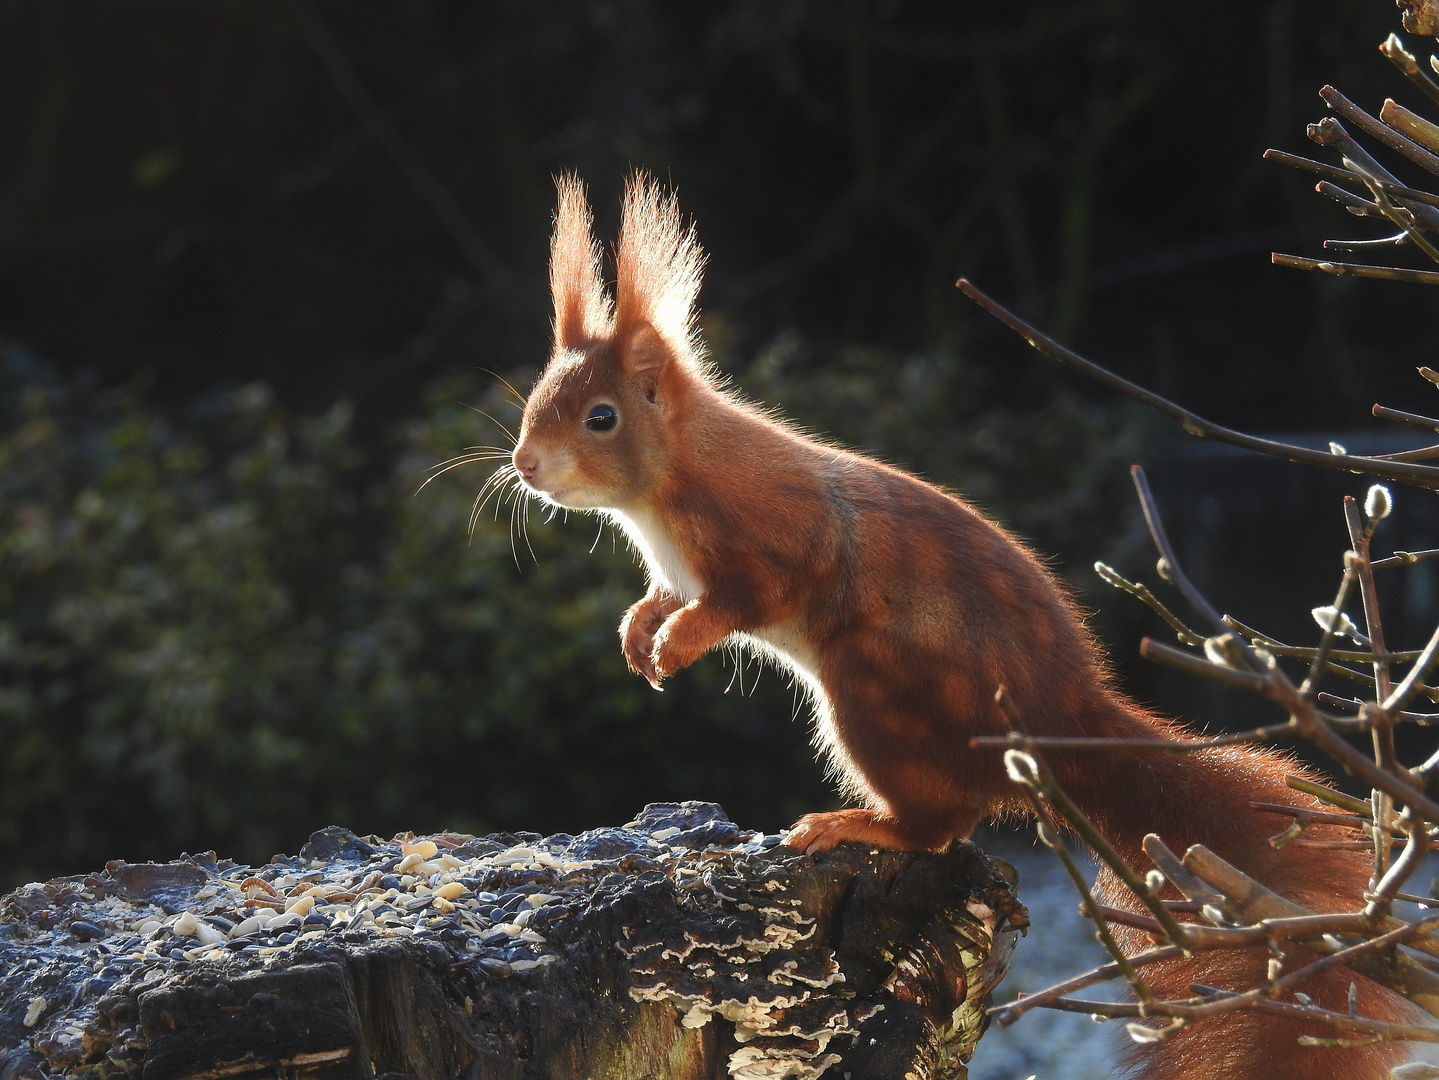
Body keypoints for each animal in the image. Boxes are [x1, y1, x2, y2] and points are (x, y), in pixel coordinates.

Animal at [512, 177, 1410, 1080]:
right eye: (536, 401)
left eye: (599, 418)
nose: (523, 465)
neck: (668, 482)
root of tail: (1055, 726)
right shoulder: (674, 572)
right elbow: (661, 598)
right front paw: (641, 634)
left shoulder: (766, 536)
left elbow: (750, 598)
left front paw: (679, 641)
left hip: (877, 690)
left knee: (940, 826)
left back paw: (856, 823)